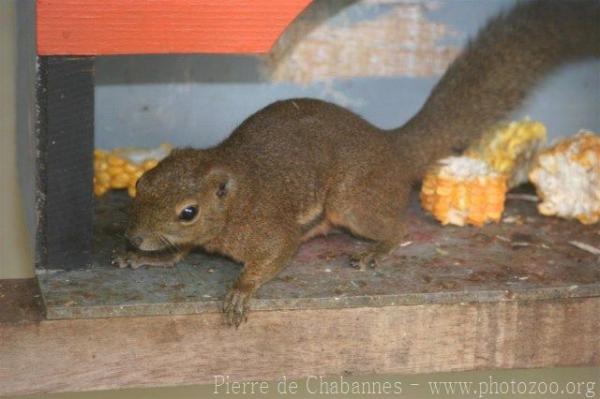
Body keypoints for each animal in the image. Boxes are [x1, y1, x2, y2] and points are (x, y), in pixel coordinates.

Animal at [116, 0, 600, 328]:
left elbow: (274, 254)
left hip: (351, 203)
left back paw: (376, 249)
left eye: (188, 212)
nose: (135, 237)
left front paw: (240, 290)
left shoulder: (270, 228)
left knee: (397, 227)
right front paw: (148, 259)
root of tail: (392, 147)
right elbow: (179, 254)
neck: (236, 196)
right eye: (141, 184)